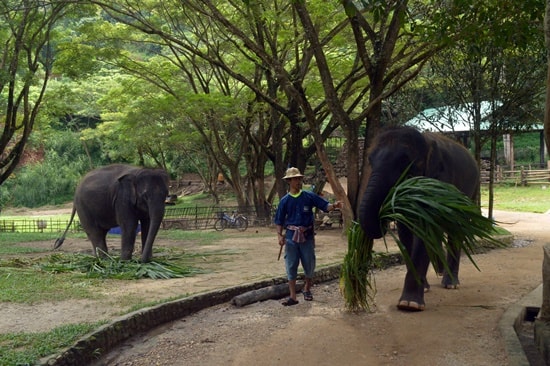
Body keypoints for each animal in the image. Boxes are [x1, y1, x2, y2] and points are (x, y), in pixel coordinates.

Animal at [360, 126, 480, 312]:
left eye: (406, 162)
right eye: (370, 161)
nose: (383, 216)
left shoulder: (440, 180)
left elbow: (427, 228)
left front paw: (409, 304)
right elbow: (406, 233)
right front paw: (422, 289)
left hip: (471, 193)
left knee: (456, 230)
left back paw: (451, 283)